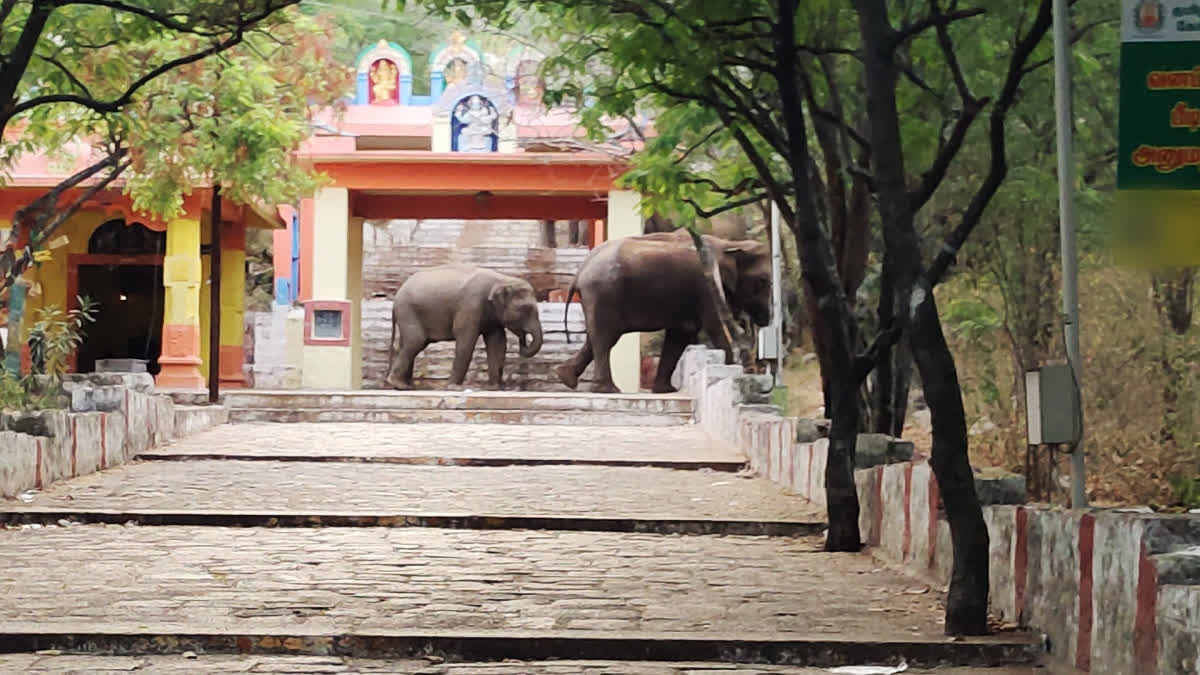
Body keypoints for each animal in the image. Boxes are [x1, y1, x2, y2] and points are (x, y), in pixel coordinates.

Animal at [384, 263, 544, 389]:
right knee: (416, 341)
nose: (523, 338)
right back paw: (399, 384)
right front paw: (453, 387)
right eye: (526, 309)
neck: (502, 279)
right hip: (408, 311)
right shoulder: (470, 306)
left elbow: (497, 343)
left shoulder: (492, 316)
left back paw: (406, 385)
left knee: (407, 344)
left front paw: (496, 388)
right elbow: (466, 342)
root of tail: (395, 299)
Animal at [552, 228, 768, 391]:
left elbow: (680, 334)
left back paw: (566, 377)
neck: (727, 244)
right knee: (605, 338)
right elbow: (713, 326)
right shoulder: (706, 287)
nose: (764, 321)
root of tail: (580, 272)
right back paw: (607, 390)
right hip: (604, 293)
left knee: (595, 337)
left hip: (596, 297)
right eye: (762, 281)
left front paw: (666, 390)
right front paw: (730, 367)